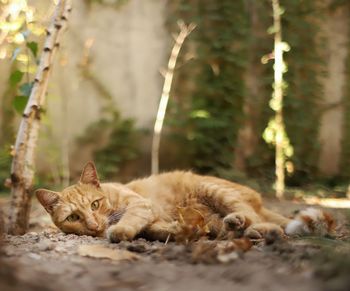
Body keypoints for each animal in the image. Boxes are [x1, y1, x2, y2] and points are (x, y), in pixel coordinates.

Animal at [34, 163, 334, 243]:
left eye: (94, 205)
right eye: (73, 218)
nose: (94, 224)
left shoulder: (141, 206)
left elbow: (131, 219)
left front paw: (119, 231)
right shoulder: (156, 222)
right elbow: (158, 230)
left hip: (214, 190)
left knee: (255, 216)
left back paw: (256, 229)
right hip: (214, 217)